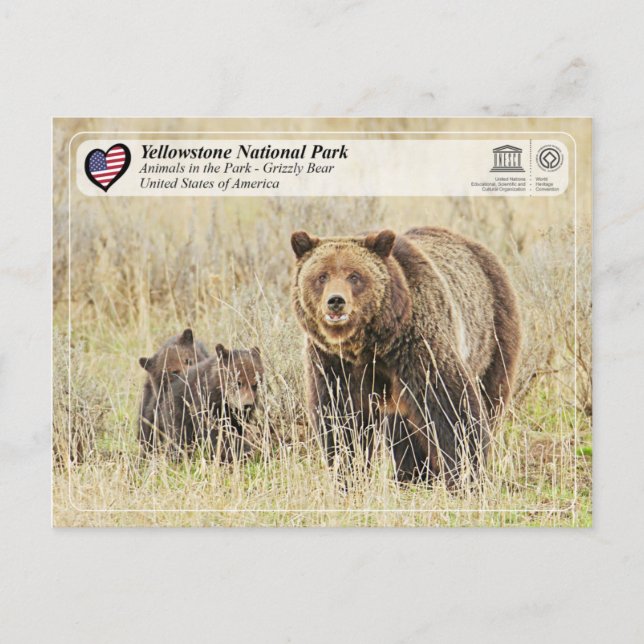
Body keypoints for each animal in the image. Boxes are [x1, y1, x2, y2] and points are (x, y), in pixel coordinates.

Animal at [290, 226, 521, 485]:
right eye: (322, 276)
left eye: (354, 276)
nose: (336, 301)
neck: (370, 345)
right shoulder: (333, 362)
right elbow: (341, 417)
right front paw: (348, 473)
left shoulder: (418, 346)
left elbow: (452, 409)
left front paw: (465, 475)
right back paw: (411, 474)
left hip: (491, 336)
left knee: (490, 397)